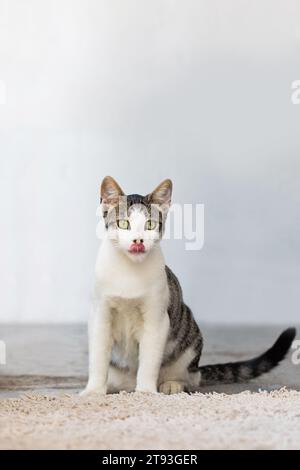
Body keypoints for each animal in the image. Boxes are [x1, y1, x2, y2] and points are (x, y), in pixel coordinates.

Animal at [81, 175, 296, 392]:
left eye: (150, 225)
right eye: (124, 223)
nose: (138, 240)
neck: (129, 271)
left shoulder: (157, 319)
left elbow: (149, 362)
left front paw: (146, 392)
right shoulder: (100, 314)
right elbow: (98, 359)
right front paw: (94, 391)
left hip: (189, 342)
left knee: (188, 377)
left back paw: (172, 384)